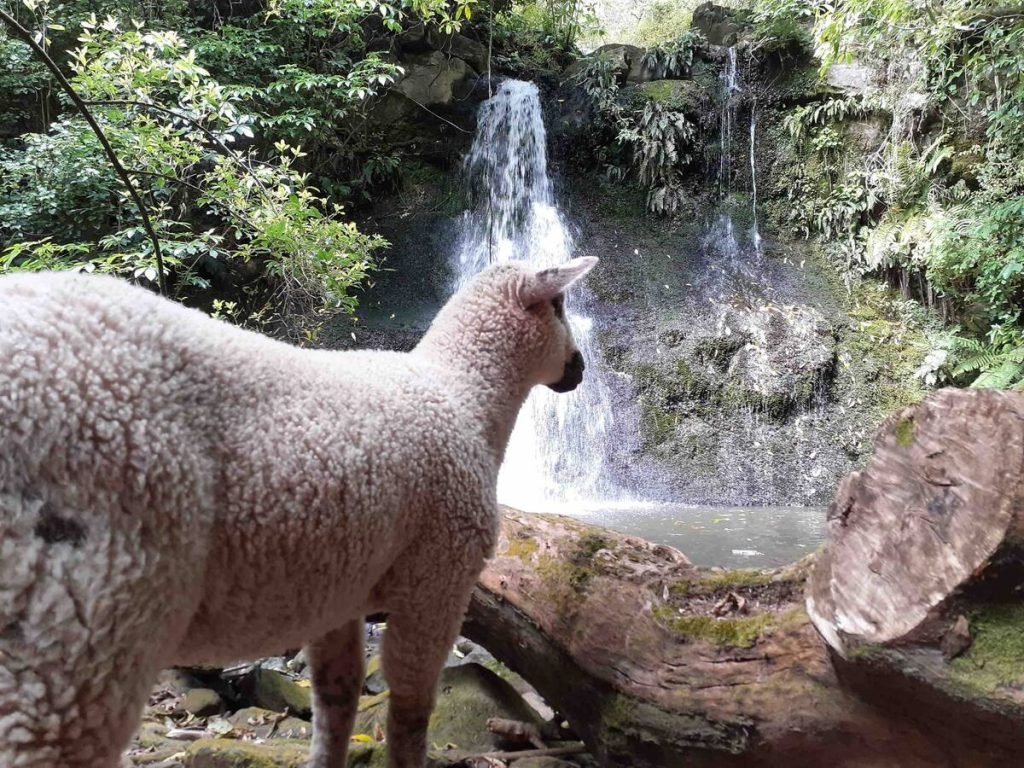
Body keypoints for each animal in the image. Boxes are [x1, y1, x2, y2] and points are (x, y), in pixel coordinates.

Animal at [0, 257, 598, 768]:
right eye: (560, 306)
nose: (581, 368)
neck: (464, 395)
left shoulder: (338, 592)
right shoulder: (438, 580)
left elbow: (337, 700)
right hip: (86, 610)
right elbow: (409, 713)